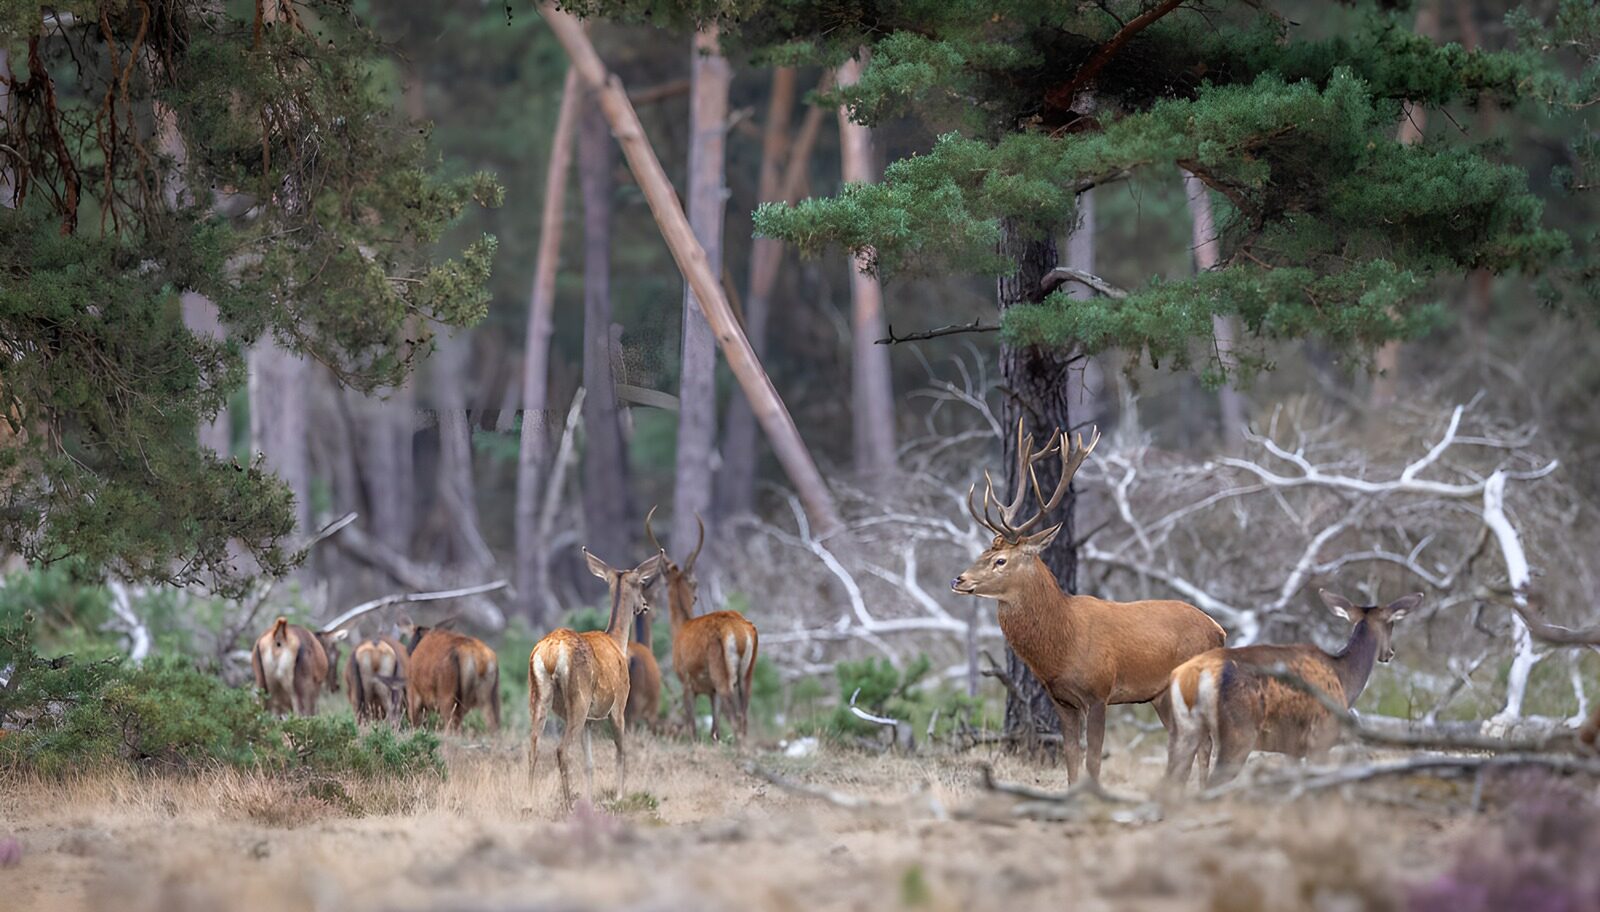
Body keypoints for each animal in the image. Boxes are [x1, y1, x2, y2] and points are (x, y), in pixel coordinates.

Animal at [528, 549, 664, 805]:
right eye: (641, 583)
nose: (644, 606)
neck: (617, 641)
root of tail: (551, 653)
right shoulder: (619, 704)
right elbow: (621, 750)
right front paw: (619, 796)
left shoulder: (591, 721)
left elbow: (589, 763)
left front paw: (590, 799)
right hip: (579, 698)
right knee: (562, 750)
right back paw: (568, 802)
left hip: (538, 693)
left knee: (533, 746)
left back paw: (527, 798)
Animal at [645, 506, 758, 741]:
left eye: (695, 582)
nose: (696, 597)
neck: (680, 627)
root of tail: (741, 635)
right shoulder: (711, 691)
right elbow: (715, 731)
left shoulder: (687, 682)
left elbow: (693, 728)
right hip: (746, 676)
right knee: (743, 719)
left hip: (722, 675)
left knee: (735, 721)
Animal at [951, 423, 1227, 785]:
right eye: (983, 552)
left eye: (1000, 560)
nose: (958, 580)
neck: (1063, 644)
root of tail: (1219, 630)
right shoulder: (1062, 701)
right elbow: (1071, 756)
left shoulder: (1099, 692)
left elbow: (1094, 758)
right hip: (1162, 695)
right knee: (1188, 740)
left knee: (1206, 741)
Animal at [1165, 589, 1421, 789]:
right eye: (1392, 623)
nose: (1390, 653)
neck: (1344, 679)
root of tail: (1192, 675)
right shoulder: (1322, 736)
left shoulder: (1293, 748)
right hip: (1238, 732)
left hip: (1183, 729)